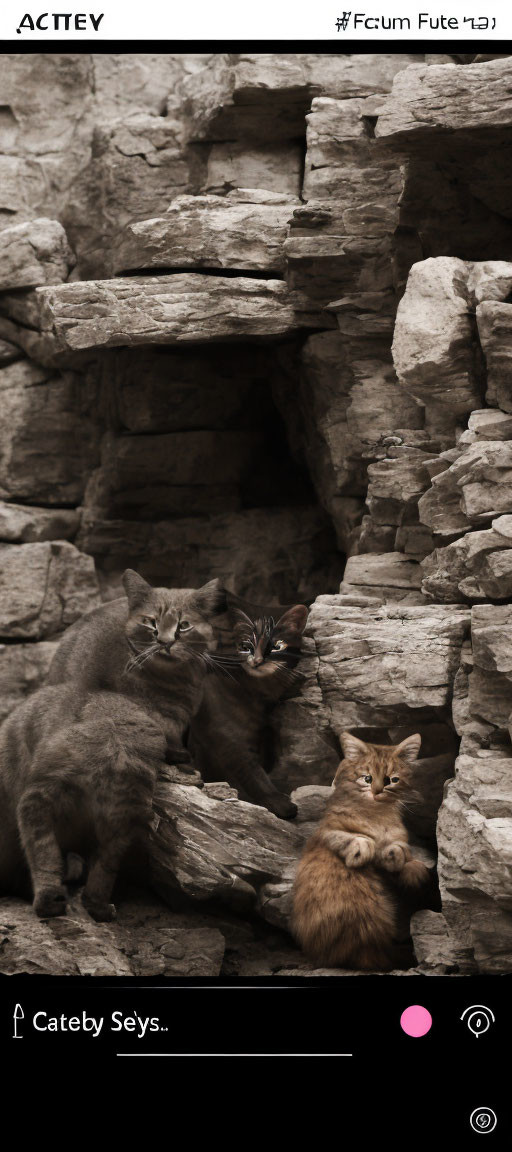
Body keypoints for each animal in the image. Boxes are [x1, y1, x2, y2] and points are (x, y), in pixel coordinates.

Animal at [189, 603, 306, 820]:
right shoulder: (228, 739)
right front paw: (281, 804)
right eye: (246, 646)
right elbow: (253, 773)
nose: (257, 660)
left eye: (277, 645)